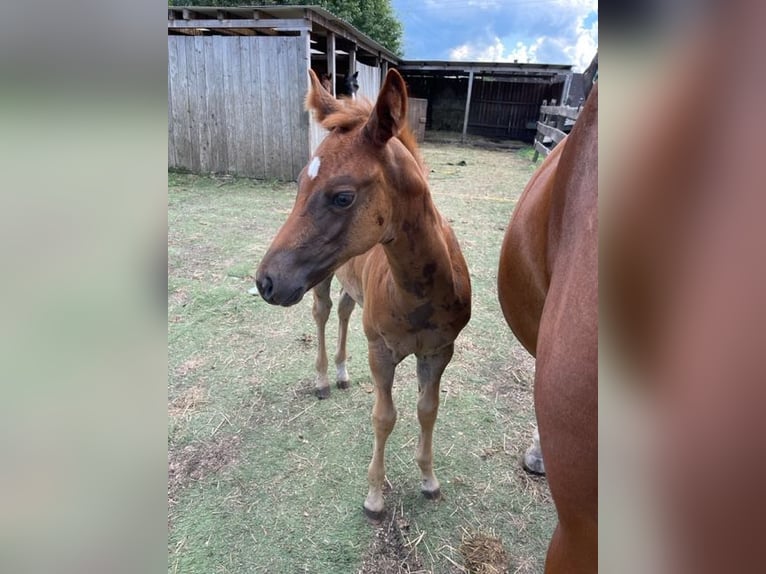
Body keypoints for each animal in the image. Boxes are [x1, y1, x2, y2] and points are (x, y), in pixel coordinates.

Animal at [256, 68, 472, 520]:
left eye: (342, 196)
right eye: (299, 184)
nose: (265, 281)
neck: (419, 294)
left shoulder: (439, 352)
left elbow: (428, 410)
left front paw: (429, 480)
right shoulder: (381, 351)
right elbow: (384, 417)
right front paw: (374, 496)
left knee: (343, 311)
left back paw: (340, 373)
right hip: (319, 279)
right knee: (322, 313)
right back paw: (323, 379)